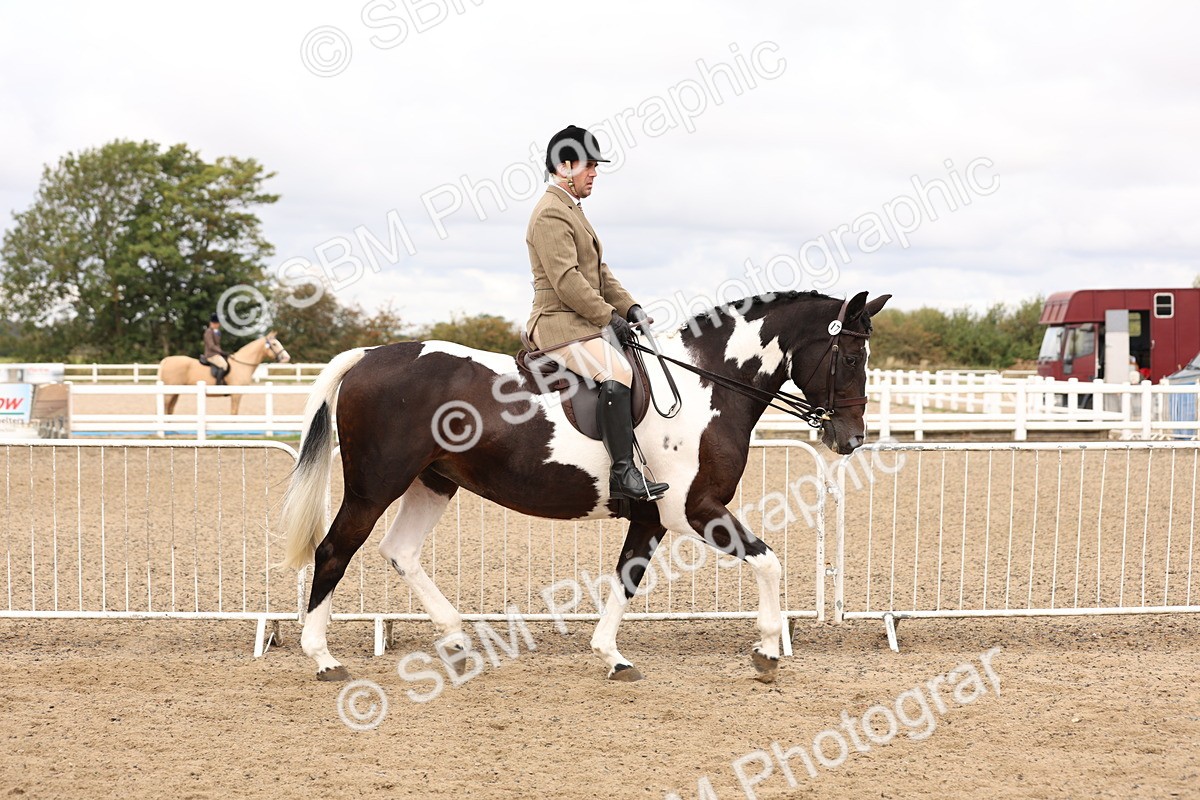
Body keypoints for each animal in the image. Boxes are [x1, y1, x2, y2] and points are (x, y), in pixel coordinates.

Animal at [156, 332, 291, 415]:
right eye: (274, 344)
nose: (286, 357)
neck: (242, 364)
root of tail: (166, 360)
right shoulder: (236, 394)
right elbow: (234, 412)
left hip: (175, 392)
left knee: (170, 409)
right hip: (170, 392)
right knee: (165, 408)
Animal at [280, 290, 889, 683]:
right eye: (850, 356)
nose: (851, 438)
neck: (706, 387)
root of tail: (367, 356)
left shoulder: (652, 517)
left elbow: (627, 579)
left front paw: (611, 657)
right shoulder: (694, 509)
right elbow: (768, 561)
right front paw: (766, 652)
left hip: (434, 482)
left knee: (400, 551)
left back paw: (455, 640)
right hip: (374, 486)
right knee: (333, 551)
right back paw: (324, 659)